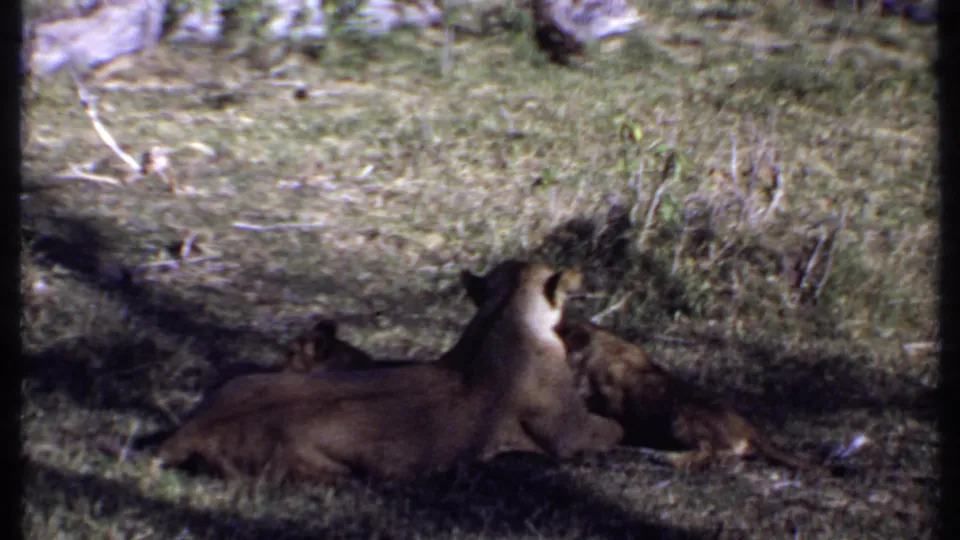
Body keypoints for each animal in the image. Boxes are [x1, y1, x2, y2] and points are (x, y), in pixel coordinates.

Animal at [152, 261, 623, 483]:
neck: (503, 314)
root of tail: (191, 430)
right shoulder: (568, 433)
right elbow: (614, 430)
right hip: (321, 469)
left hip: (250, 377)